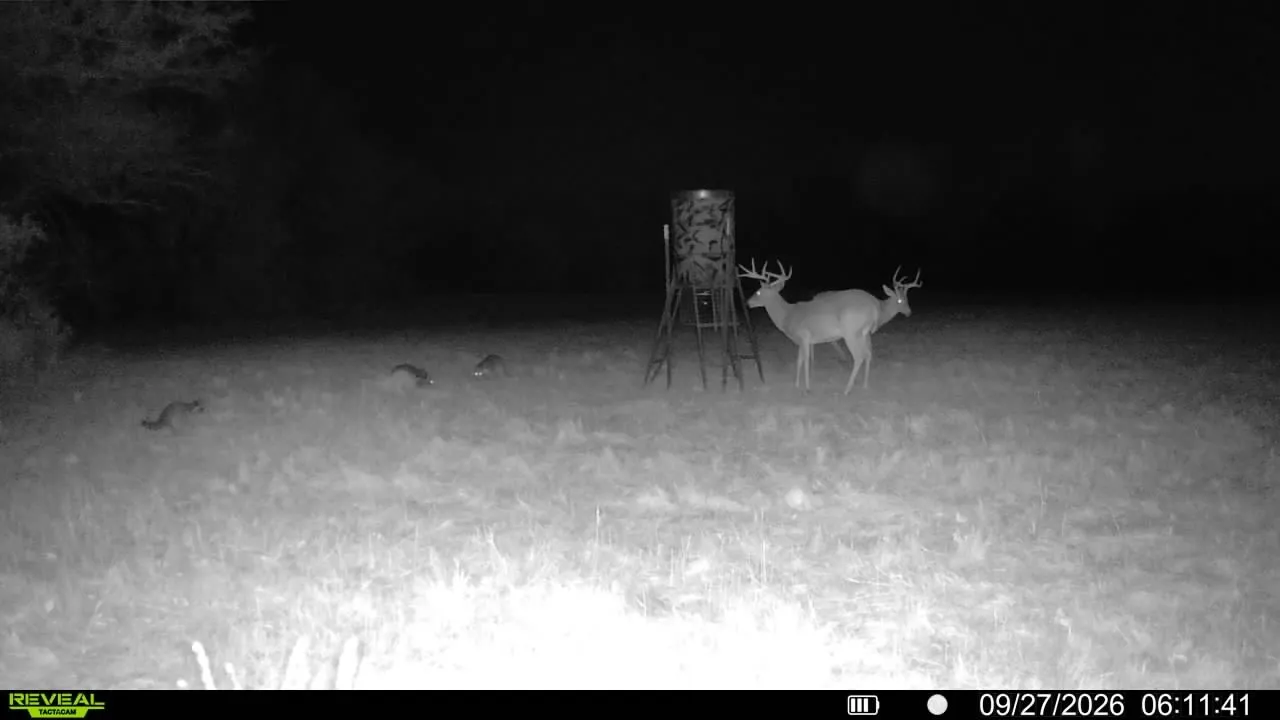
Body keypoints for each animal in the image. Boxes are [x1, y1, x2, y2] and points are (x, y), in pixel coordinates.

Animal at [738, 261, 923, 395]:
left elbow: (804, 360)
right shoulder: (802, 341)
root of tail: (874, 307)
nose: (747, 302)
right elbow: (799, 360)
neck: (788, 315)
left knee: (860, 356)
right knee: (868, 354)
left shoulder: (804, 336)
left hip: (851, 332)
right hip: (863, 333)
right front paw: (796, 384)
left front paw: (807, 388)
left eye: (758, 292)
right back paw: (864, 385)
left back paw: (847, 389)